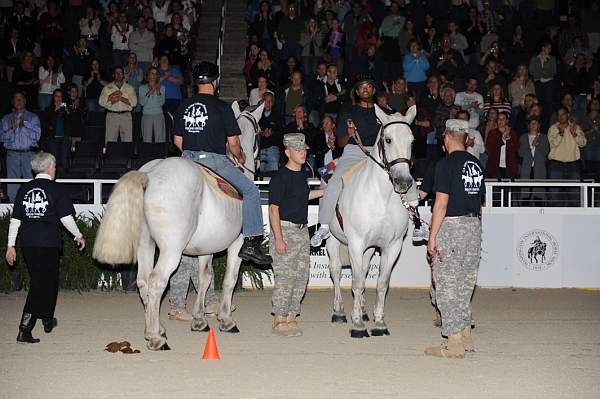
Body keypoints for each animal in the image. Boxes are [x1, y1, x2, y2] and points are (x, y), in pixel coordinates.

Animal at [326, 104, 414, 340]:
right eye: (388, 140)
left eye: (412, 140)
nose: (403, 181)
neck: (381, 197)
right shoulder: (356, 243)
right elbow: (356, 283)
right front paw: (357, 325)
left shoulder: (392, 246)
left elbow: (381, 283)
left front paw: (379, 323)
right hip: (333, 241)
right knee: (336, 271)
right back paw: (339, 312)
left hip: (369, 249)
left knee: (364, 271)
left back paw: (364, 311)